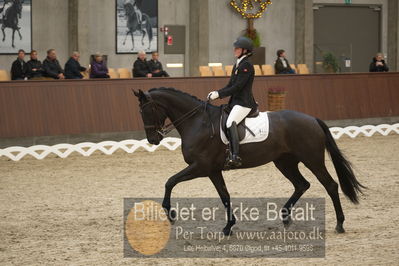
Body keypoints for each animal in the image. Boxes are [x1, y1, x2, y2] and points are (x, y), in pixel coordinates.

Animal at [134, 88, 366, 236]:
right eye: (141, 112)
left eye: (147, 111)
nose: (153, 140)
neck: (197, 122)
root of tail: (313, 119)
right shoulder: (213, 171)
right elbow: (224, 196)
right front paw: (228, 227)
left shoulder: (200, 167)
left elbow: (170, 181)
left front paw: (171, 214)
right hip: (284, 162)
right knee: (302, 184)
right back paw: (285, 217)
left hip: (312, 159)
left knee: (330, 185)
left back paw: (339, 224)